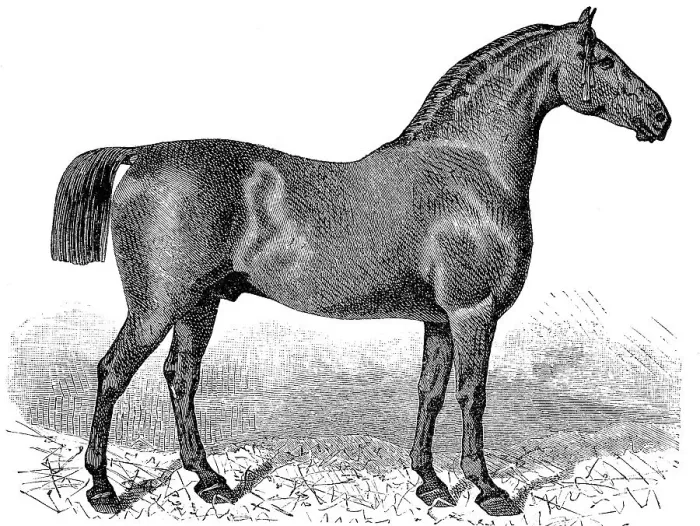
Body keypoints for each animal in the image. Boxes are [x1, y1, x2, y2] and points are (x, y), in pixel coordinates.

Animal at [50, 7, 670, 516]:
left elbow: (430, 391)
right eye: (606, 59)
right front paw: (488, 490)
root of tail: (144, 154)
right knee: (113, 373)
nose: (661, 118)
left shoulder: (440, 320)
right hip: (157, 308)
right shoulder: (474, 314)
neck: (470, 167)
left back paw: (209, 480)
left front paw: (429, 482)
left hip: (198, 306)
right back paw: (102, 488)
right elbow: (472, 395)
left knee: (181, 379)